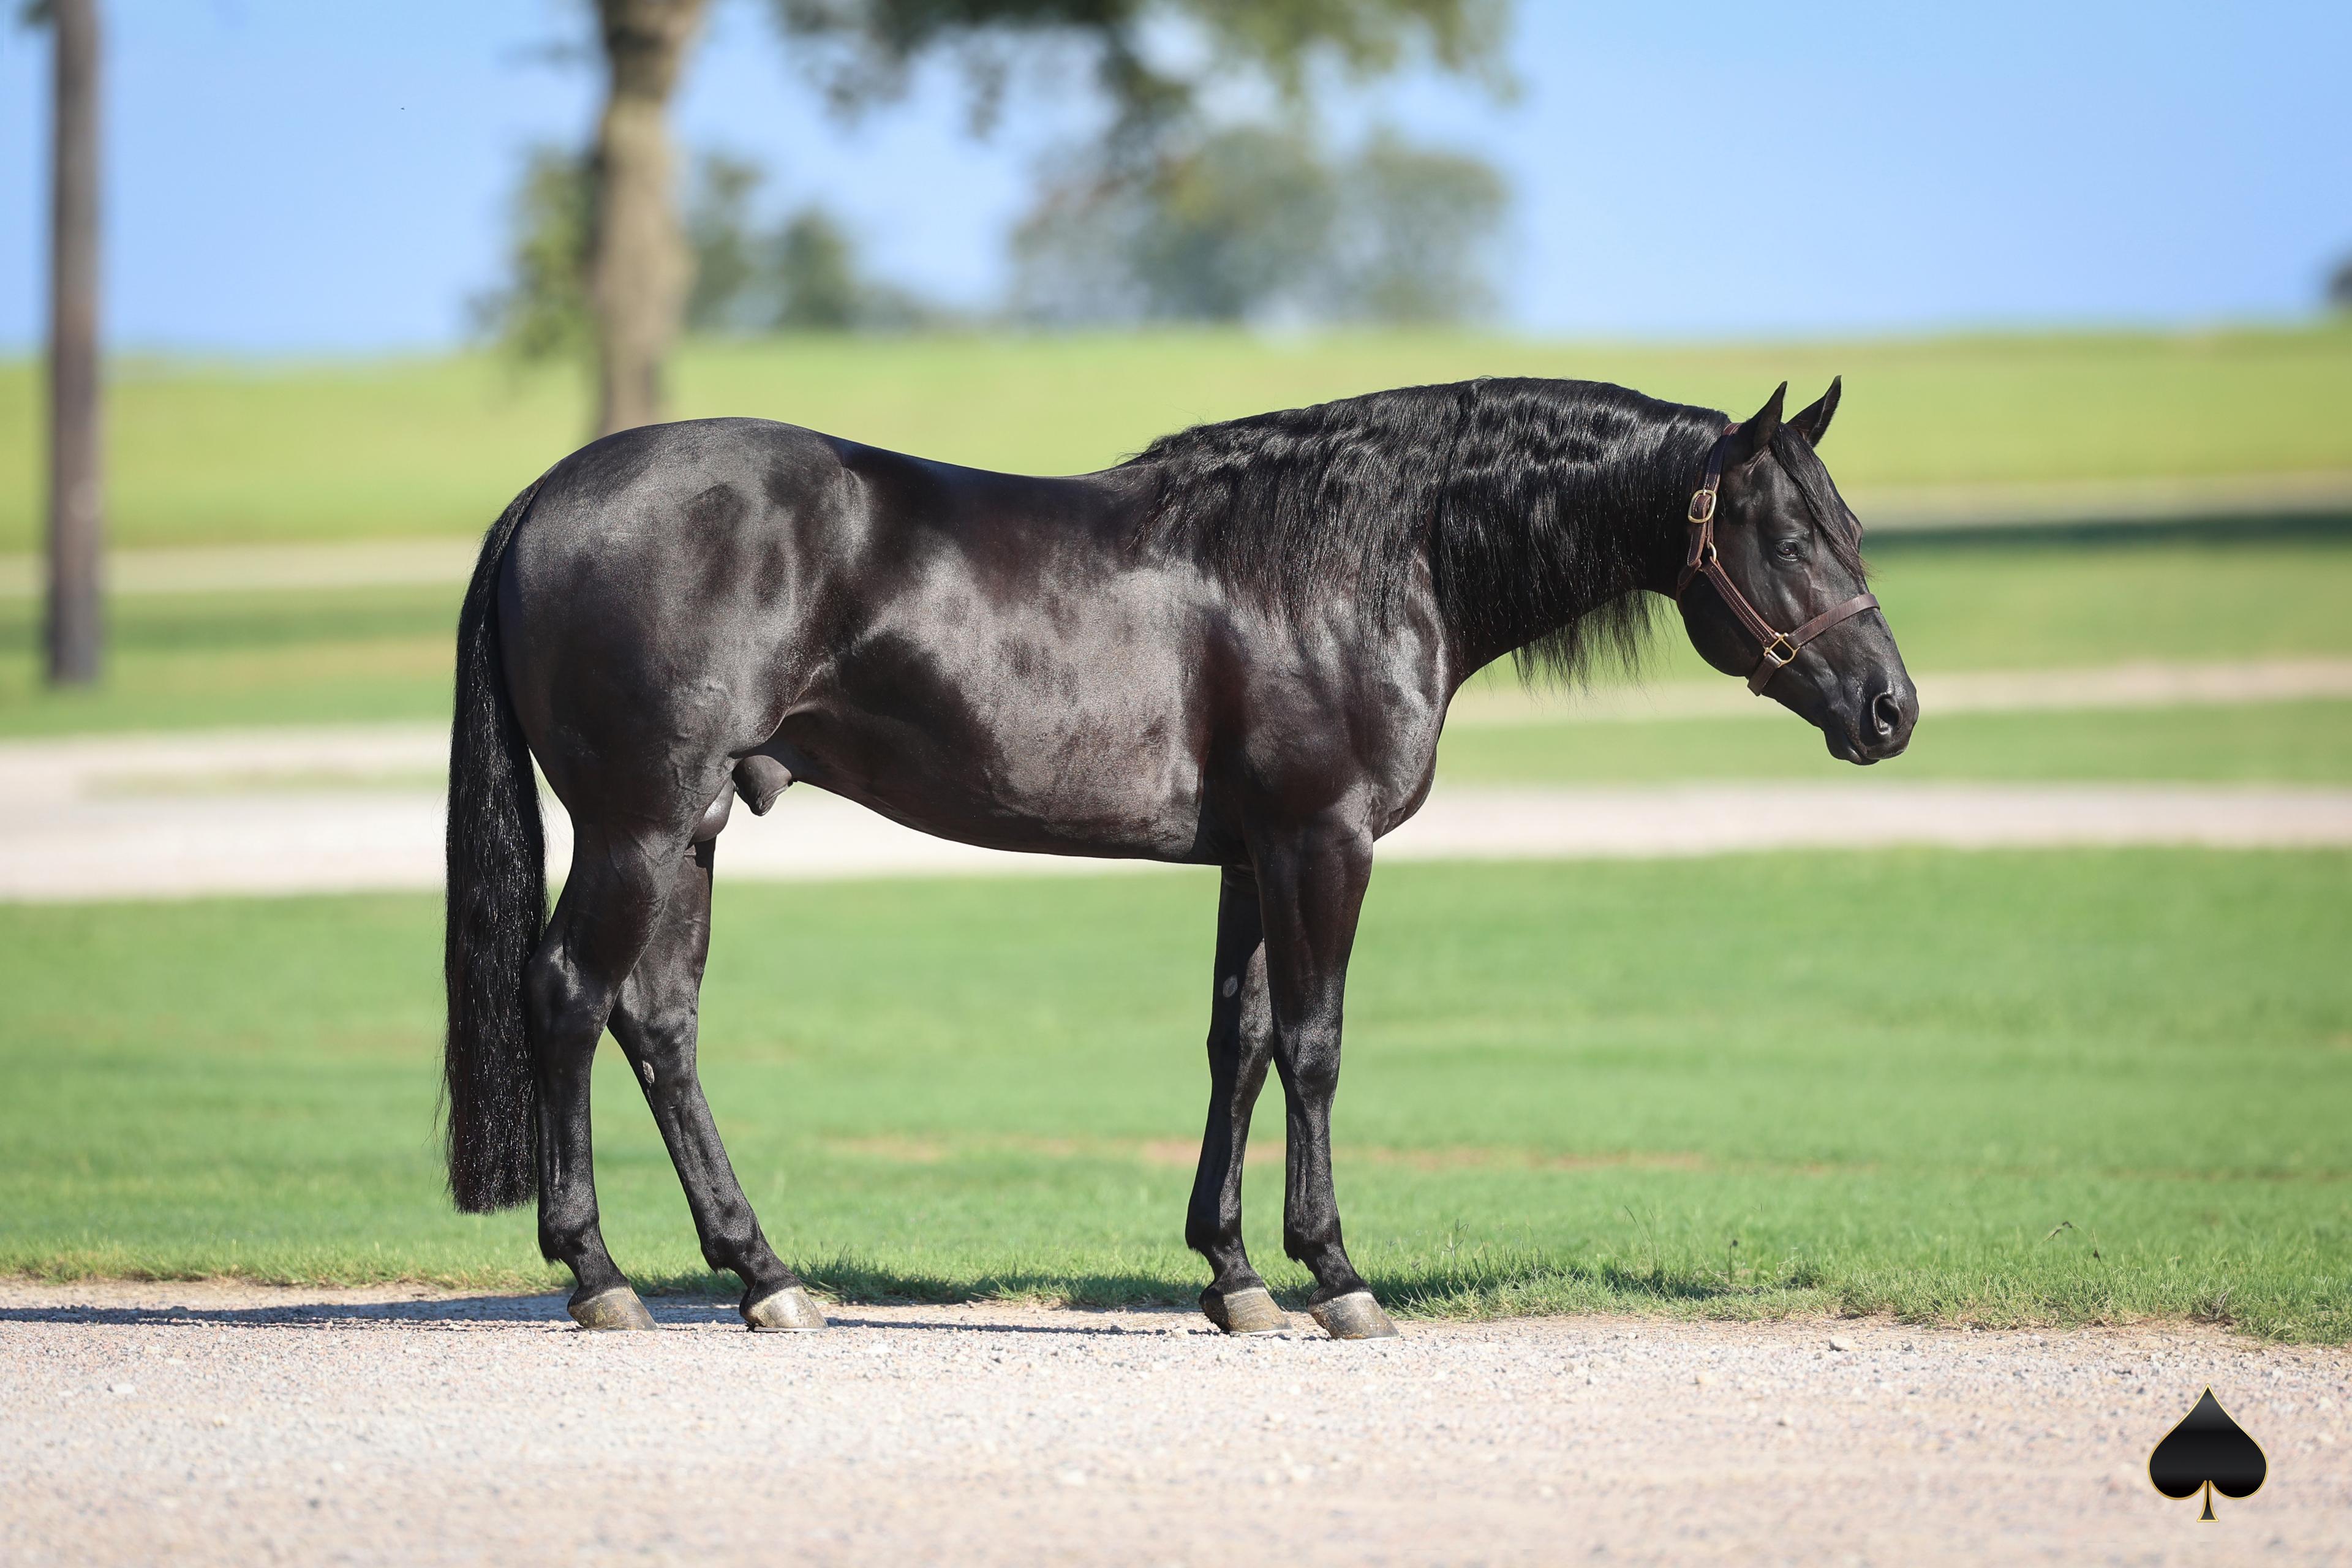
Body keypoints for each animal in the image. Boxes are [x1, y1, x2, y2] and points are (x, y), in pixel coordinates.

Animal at [442, 375, 1916, 1338]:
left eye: (1849, 528)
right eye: (1791, 535)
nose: (1892, 709)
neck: (1362, 560)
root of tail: (546, 496)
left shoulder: (1252, 859)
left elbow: (1240, 1041)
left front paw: (1235, 1277)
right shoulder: (1322, 841)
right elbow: (1315, 1047)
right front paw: (1337, 1276)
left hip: (688, 830)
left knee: (659, 1021)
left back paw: (766, 1276)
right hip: (639, 823)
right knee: (569, 994)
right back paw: (599, 1276)